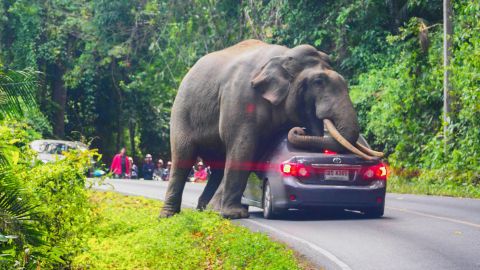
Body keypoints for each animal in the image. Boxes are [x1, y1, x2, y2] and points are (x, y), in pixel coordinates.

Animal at [160, 38, 382, 219]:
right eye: (318, 81)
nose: (299, 129)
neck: (284, 56)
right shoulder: (241, 98)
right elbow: (244, 147)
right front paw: (234, 215)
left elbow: (253, 152)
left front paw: (222, 212)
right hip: (182, 112)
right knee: (183, 156)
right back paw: (169, 215)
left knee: (217, 165)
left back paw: (205, 209)